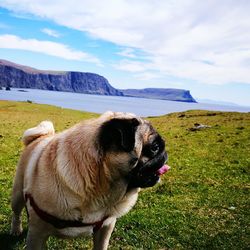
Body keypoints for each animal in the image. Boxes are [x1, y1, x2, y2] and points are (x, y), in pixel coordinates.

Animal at [10, 112, 170, 250]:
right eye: (155, 147)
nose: (165, 152)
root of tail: (41, 136)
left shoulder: (106, 227)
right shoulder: (37, 233)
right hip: (17, 195)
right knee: (17, 213)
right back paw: (16, 230)